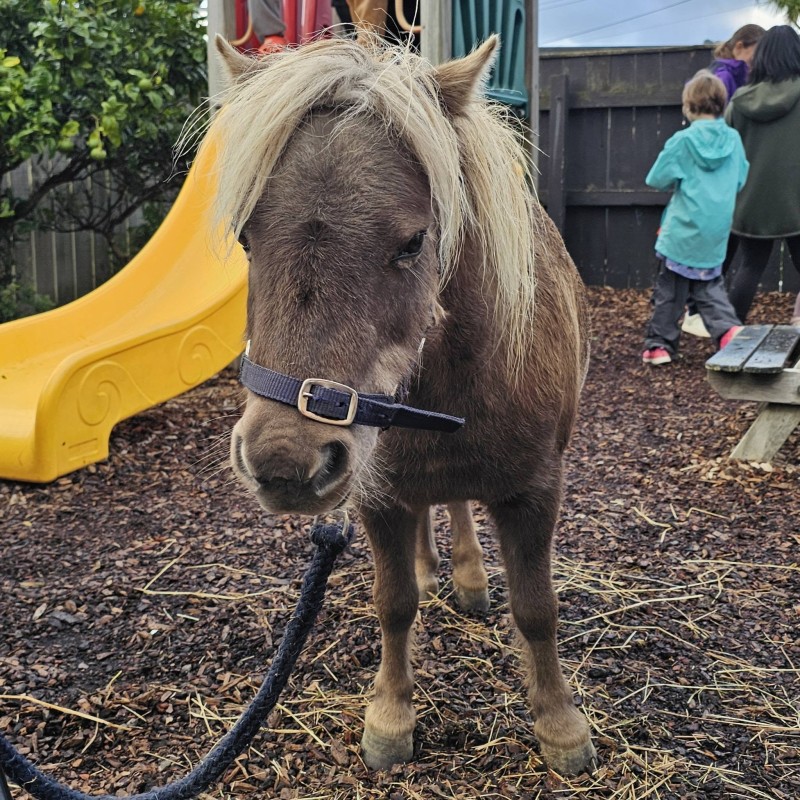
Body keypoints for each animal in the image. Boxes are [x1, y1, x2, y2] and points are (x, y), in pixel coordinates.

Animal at [204, 33, 596, 776]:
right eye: (243, 237)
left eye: (413, 242)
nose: (285, 462)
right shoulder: (378, 497)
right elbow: (394, 604)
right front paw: (390, 719)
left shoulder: (536, 490)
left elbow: (537, 609)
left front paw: (561, 728)